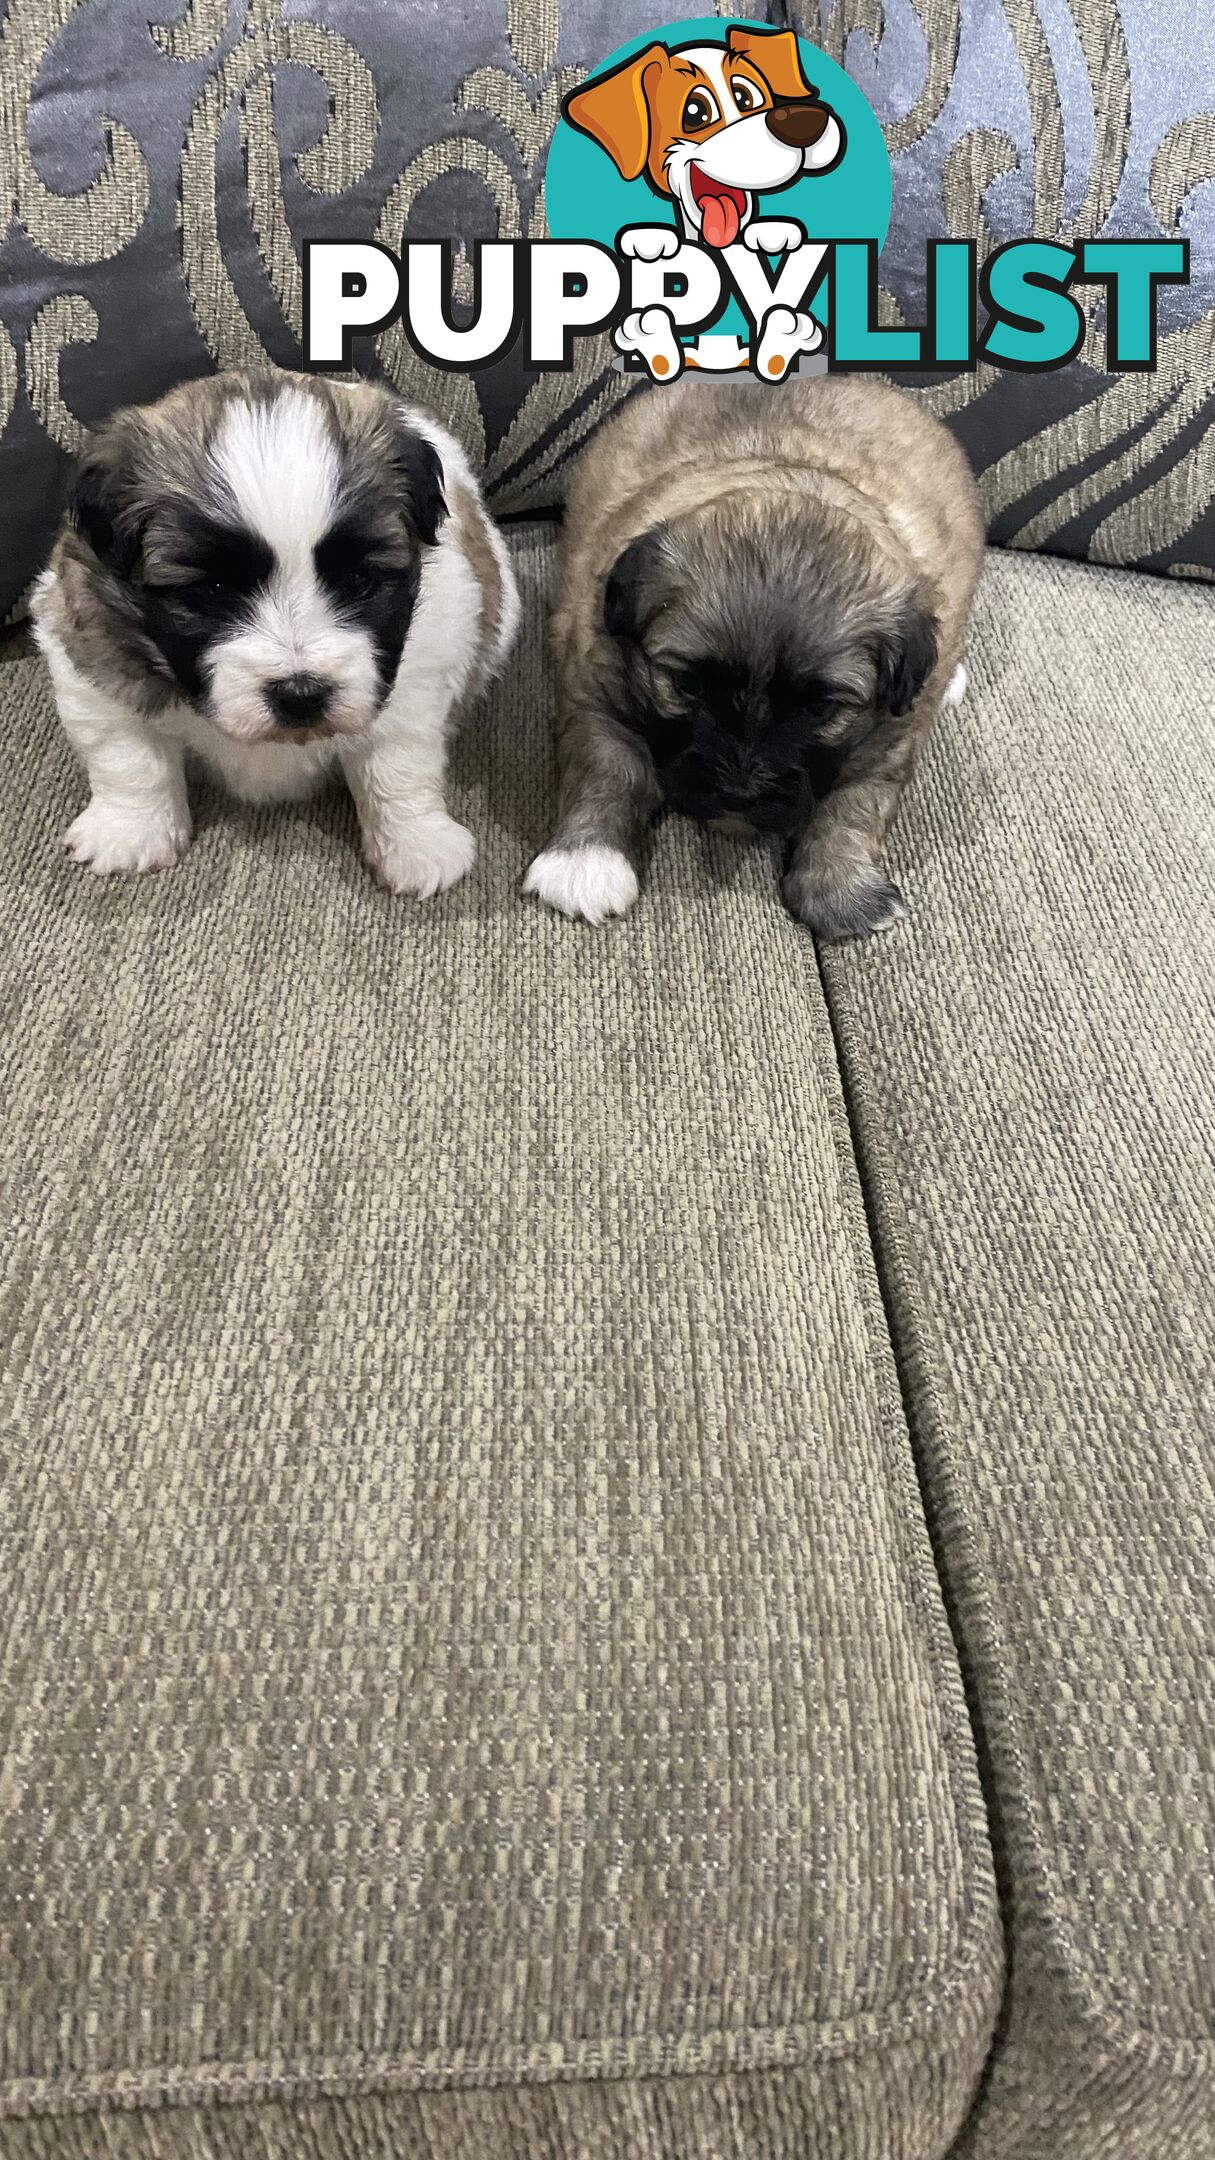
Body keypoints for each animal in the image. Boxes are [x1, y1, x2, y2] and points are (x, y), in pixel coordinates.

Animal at [33, 371, 514, 894]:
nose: (301, 694)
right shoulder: (92, 648)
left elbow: (397, 765)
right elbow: (127, 754)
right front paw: (130, 830)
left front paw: (416, 843)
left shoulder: (417, 677)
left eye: (357, 580)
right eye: (214, 589)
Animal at [525, 375, 977, 933]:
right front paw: (585, 862)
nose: (738, 796)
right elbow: (607, 770)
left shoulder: (891, 740)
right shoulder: (594, 688)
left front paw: (841, 889)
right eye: (690, 685)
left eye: (820, 707)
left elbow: (851, 807)